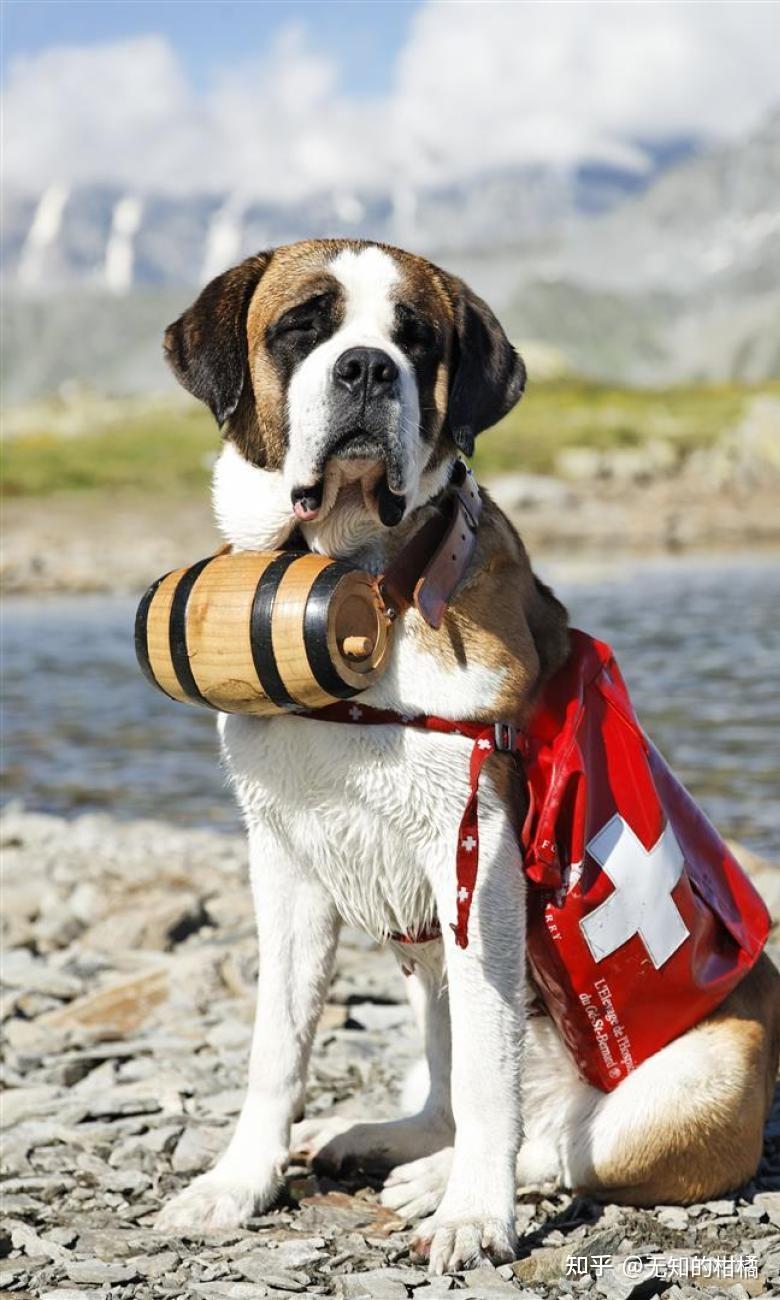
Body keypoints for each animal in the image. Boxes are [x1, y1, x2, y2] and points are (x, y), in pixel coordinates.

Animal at [156, 239, 780, 1274]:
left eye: (415, 340)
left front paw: (475, 1216)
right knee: (451, 1092)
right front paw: (238, 1184)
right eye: (303, 325)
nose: (368, 369)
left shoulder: (479, 865)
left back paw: (442, 1181)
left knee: (561, 1137)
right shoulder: (283, 863)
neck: (360, 582)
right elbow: (278, 1041)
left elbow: (493, 1072)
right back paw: (393, 1145)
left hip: (710, 1074)